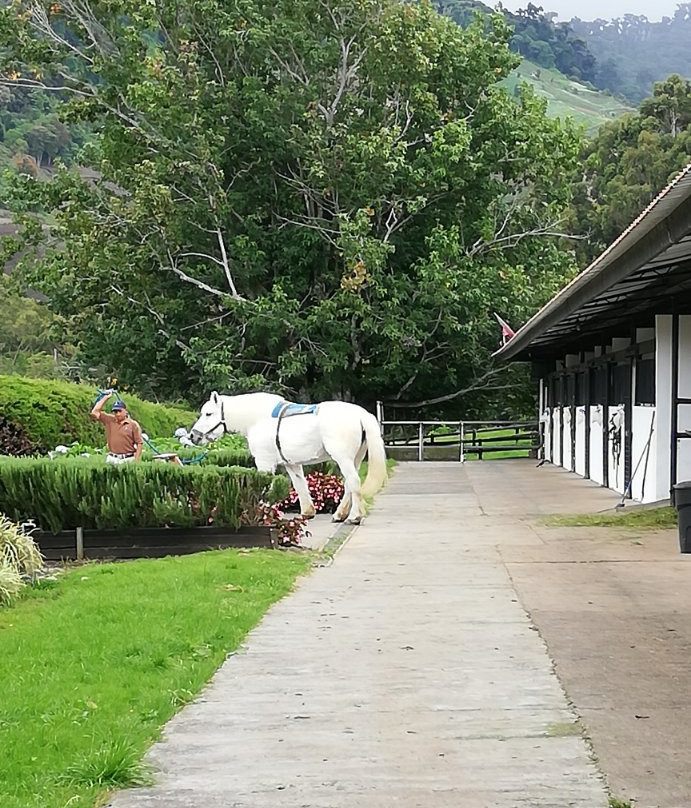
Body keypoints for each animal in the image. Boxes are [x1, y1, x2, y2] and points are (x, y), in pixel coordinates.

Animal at [189, 392, 386, 524]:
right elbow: (300, 485)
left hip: (343, 458)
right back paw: (340, 514)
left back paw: (354, 516)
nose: (193, 436)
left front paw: (260, 513)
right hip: (355, 458)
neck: (257, 419)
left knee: (353, 482)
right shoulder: (292, 464)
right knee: (348, 484)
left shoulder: (265, 463)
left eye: (208, 413)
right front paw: (307, 512)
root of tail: (361, 415)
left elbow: (263, 487)